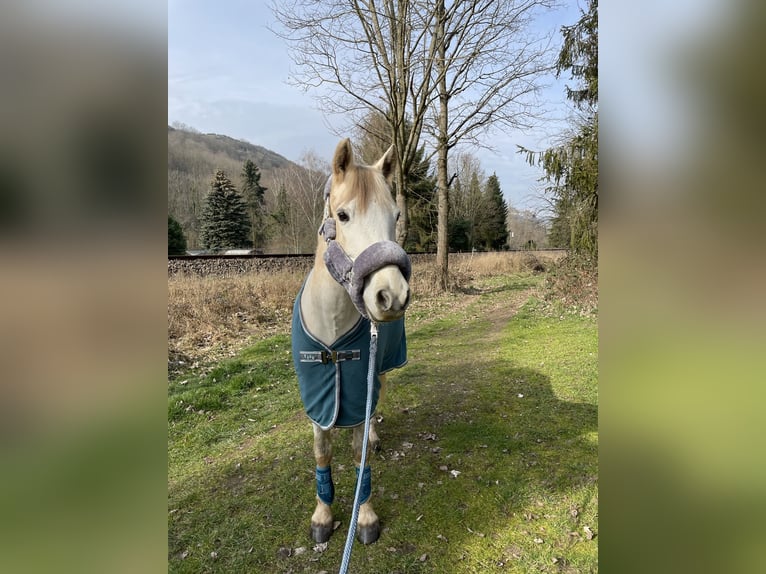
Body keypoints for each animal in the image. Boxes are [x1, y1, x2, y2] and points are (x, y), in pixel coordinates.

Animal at [292, 137, 414, 548]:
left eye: (396, 215)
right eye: (343, 216)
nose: (391, 296)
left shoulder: (361, 385)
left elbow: (363, 461)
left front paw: (365, 518)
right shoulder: (317, 405)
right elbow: (321, 454)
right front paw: (323, 515)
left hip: (385, 364)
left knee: (377, 399)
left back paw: (374, 436)